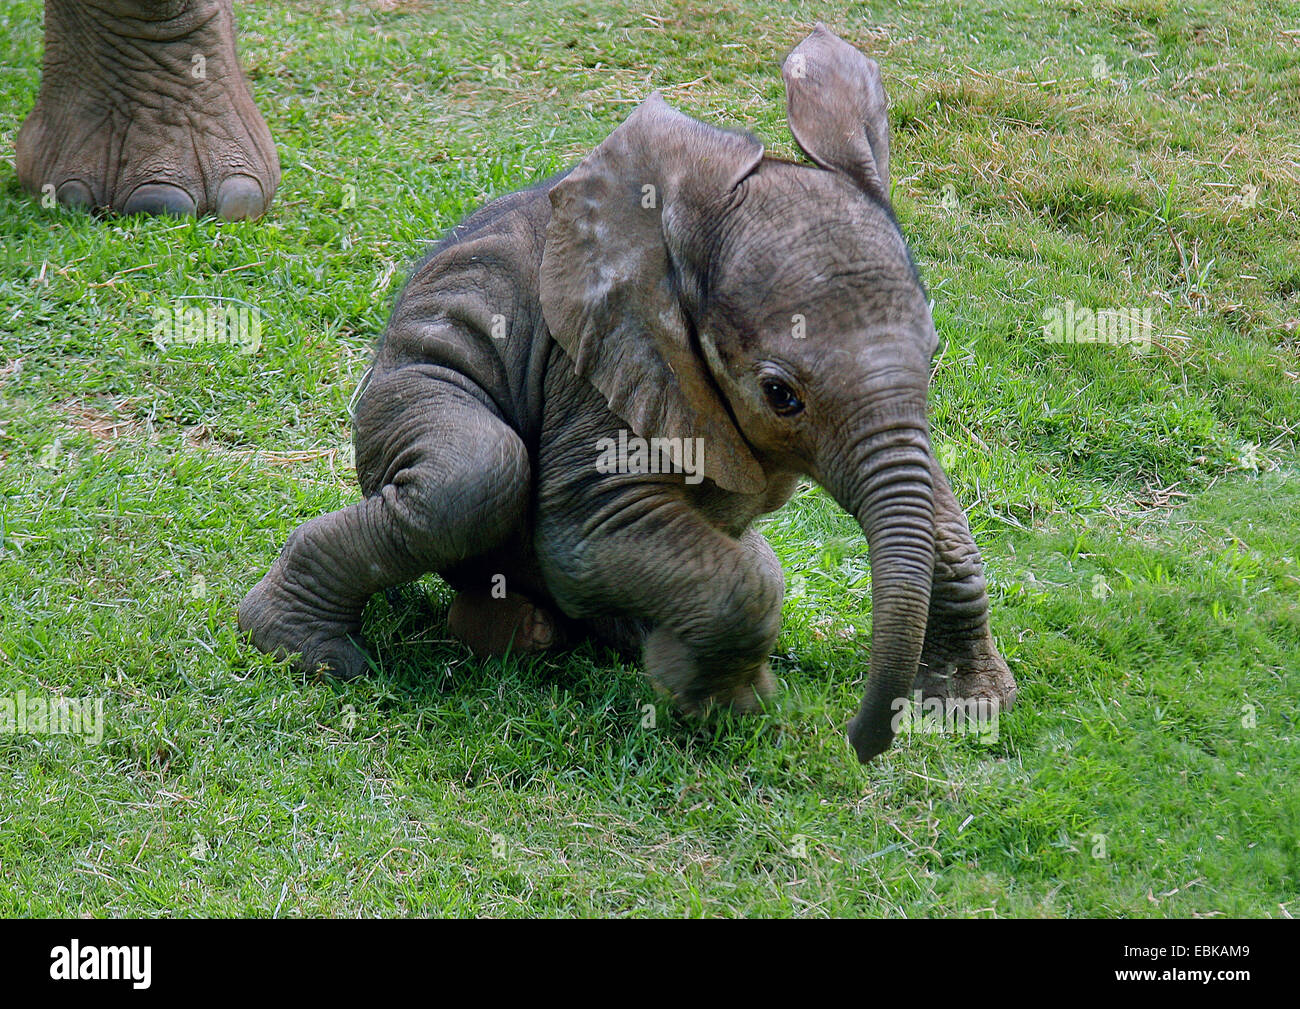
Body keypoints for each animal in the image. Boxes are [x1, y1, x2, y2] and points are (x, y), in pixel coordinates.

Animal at [241, 25, 1013, 764]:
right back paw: (307, 648)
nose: (862, 743)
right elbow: (589, 533)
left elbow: (936, 516)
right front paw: (722, 705)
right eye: (780, 395)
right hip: (398, 400)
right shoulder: (596, 365)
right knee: (474, 477)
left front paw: (969, 708)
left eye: (933, 357)